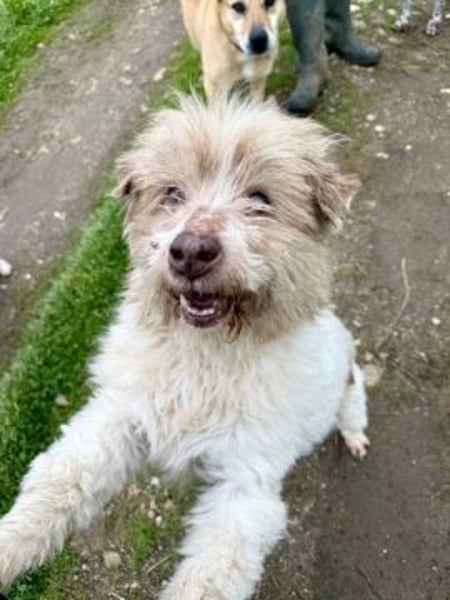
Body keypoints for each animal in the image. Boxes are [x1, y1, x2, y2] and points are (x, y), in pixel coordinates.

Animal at [0, 96, 369, 599]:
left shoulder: (245, 485)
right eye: (172, 193)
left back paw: (355, 438)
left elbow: (210, 577)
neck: (203, 355)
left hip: (352, 391)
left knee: (351, 416)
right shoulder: (117, 418)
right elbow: (59, 485)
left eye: (260, 199)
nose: (190, 252)